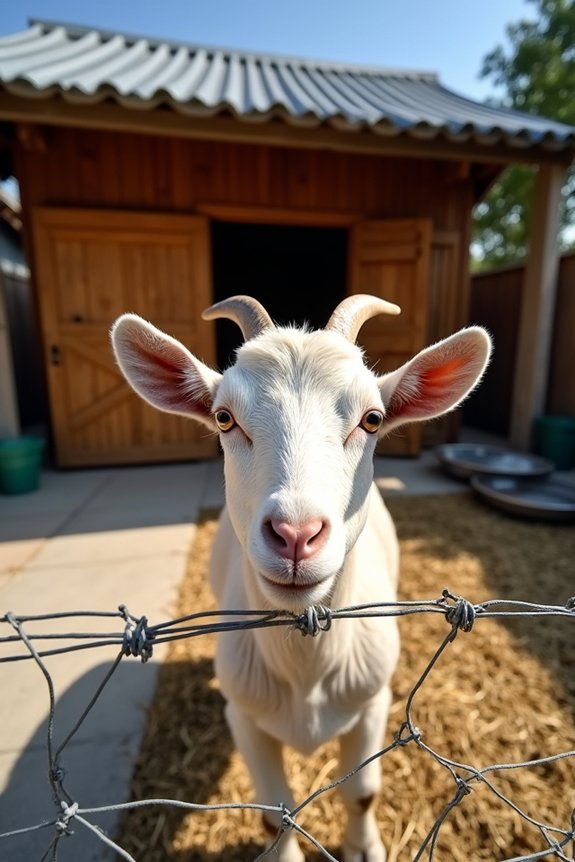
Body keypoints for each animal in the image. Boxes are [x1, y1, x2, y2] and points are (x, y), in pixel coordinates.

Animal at [111, 295, 491, 861]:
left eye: (372, 419)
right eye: (224, 417)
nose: (295, 534)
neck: (307, 670)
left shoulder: (373, 703)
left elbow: (362, 793)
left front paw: (362, 847)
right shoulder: (244, 718)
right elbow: (276, 813)